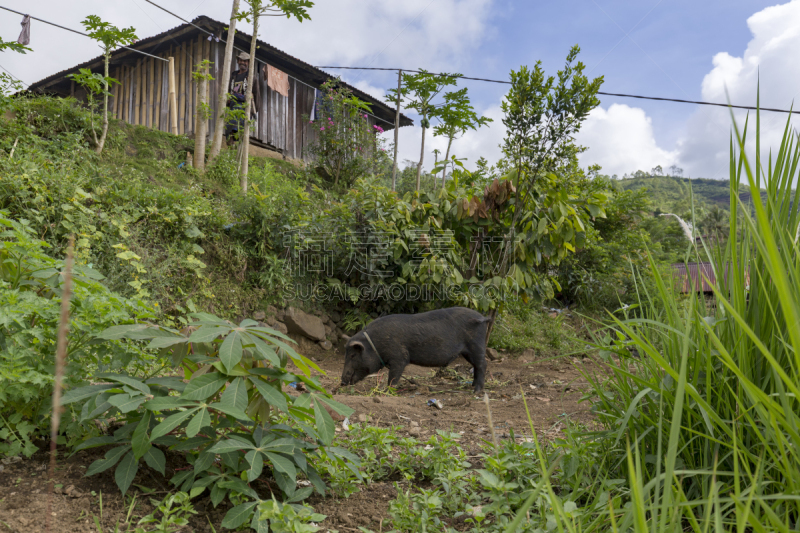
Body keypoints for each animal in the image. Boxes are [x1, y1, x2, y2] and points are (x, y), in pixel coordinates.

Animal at [340, 308, 490, 390]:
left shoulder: (399, 357)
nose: (342, 382)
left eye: (353, 355)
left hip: (476, 345)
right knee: (477, 366)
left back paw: (476, 391)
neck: (376, 344)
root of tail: (482, 317)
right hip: (468, 351)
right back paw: (472, 386)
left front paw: (388, 390)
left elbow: (393, 376)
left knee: (482, 365)